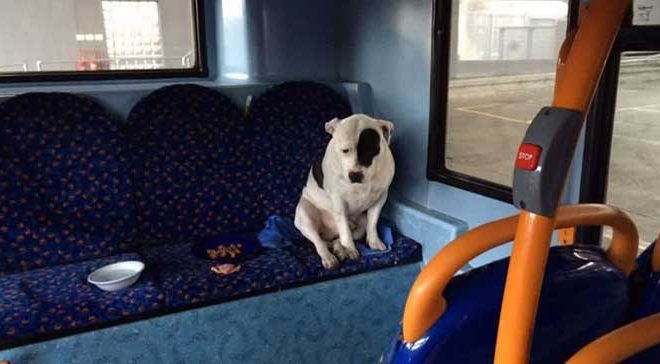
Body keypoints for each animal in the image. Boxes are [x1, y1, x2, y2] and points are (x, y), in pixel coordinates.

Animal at [296, 115, 398, 268]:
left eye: (371, 150)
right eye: (345, 150)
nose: (355, 175)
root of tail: (328, 232)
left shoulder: (380, 198)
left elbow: (373, 223)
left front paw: (374, 241)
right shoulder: (339, 202)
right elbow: (344, 230)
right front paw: (350, 249)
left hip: (360, 223)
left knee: (341, 237)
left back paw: (339, 249)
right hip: (305, 215)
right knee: (319, 241)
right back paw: (329, 257)